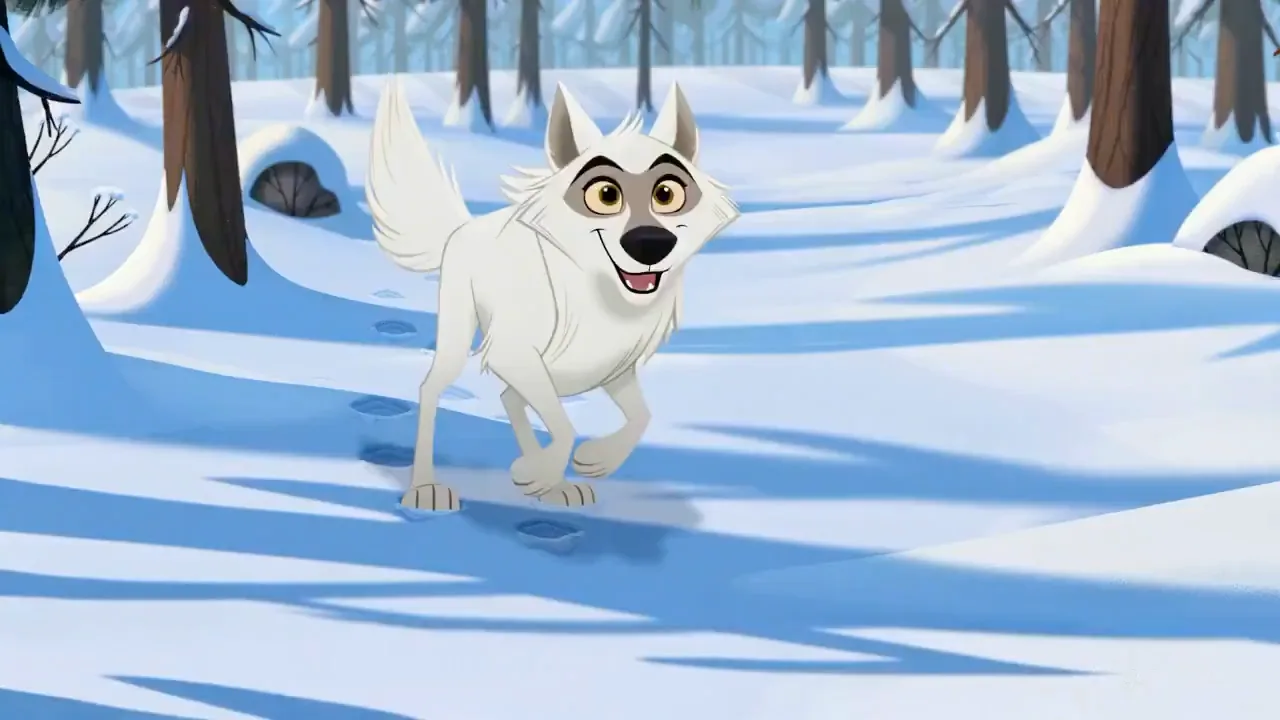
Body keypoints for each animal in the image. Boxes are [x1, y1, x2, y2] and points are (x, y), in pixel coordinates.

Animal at [365, 79, 740, 512]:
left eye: (666, 194)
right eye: (606, 195)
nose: (649, 243)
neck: (601, 293)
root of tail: (465, 226)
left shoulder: (612, 366)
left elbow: (640, 418)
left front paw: (591, 461)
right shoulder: (514, 353)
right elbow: (564, 426)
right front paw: (539, 471)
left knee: (510, 398)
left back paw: (549, 481)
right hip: (460, 339)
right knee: (433, 390)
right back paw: (426, 487)